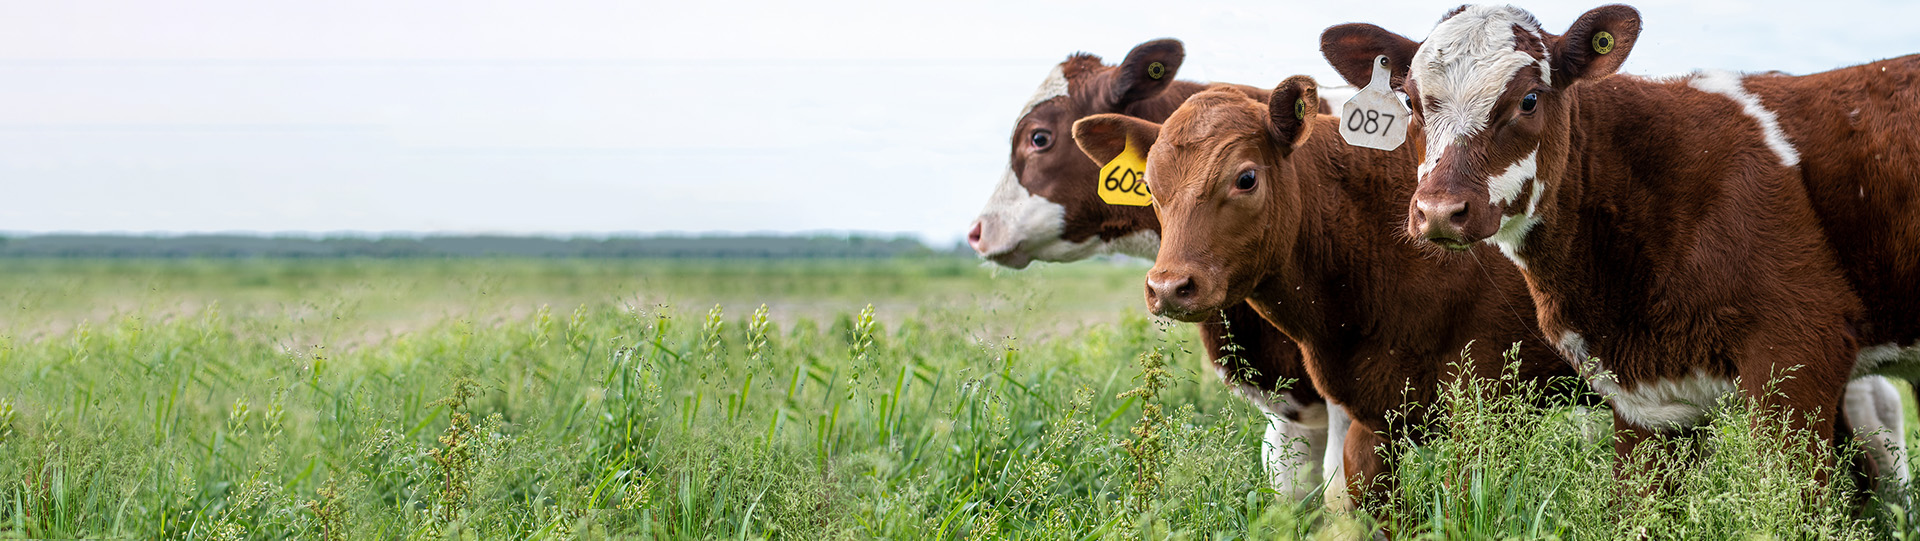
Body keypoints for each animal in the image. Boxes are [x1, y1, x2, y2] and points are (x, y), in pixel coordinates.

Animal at [960, 39, 1351, 502]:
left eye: (1039, 138)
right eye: (1147, 183)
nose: (977, 231)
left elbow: (1341, 489)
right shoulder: (1288, 403)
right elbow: (1289, 490)